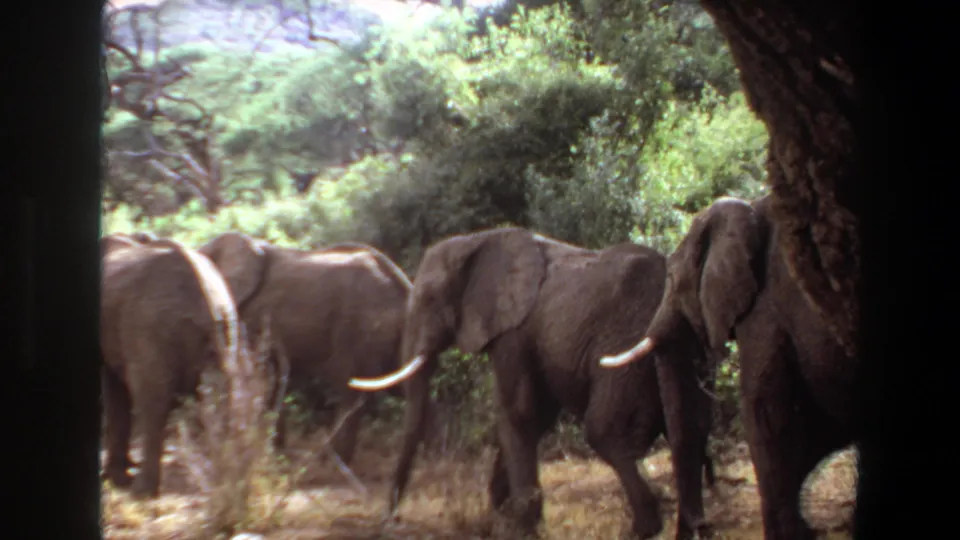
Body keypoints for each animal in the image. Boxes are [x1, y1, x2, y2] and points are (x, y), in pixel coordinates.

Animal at [100, 232, 240, 498]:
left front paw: (117, 479)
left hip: (149, 328)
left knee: (152, 403)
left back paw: (141, 492)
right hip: (224, 331)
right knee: (222, 399)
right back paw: (225, 485)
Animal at [348, 227, 718, 540]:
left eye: (428, 300)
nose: (391, 518)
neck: (477, 240)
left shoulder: (514, 332)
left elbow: (521, 412)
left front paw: (521, 526)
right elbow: (534, 416)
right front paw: (502, 511)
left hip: (627, 352)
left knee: (606, 432)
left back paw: (644, 529)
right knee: (691, 431)